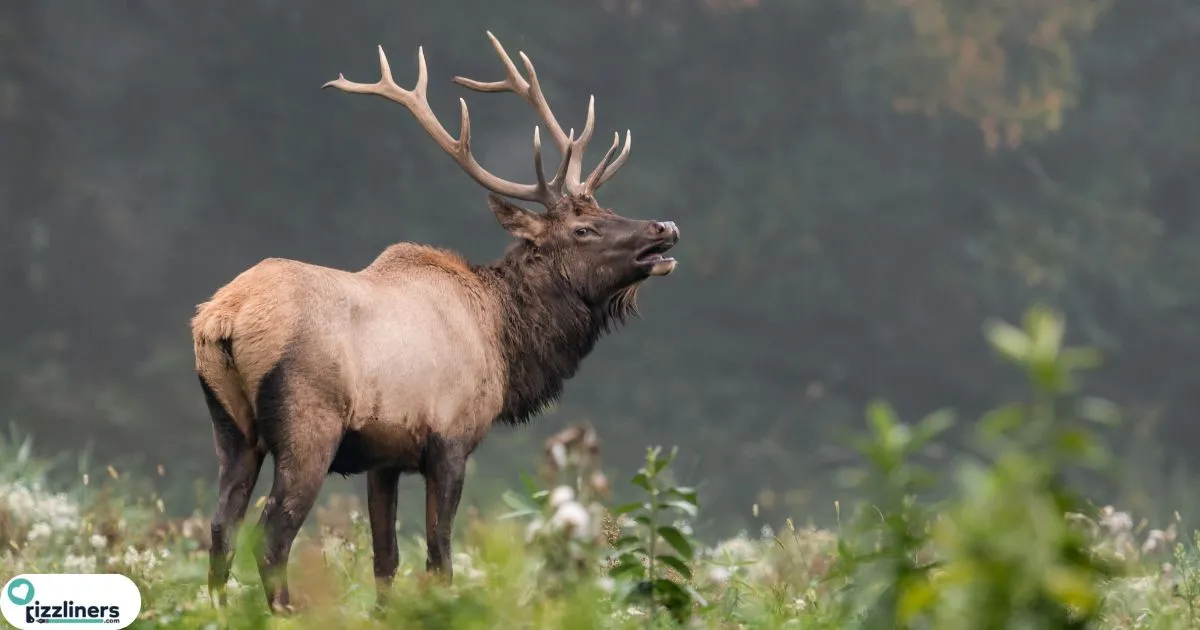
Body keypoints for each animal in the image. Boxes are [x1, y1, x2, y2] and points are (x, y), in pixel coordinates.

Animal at [190, 32, 680, 614]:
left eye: (606, 209)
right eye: (583, 228)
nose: (665, 227)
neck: (505, 342)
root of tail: (223, 319)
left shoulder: (383, 457)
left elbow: (385, 561)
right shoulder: (450, 438)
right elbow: (439, 558)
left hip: (232, 428)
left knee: (220, 529)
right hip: (308, 424)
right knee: (270, 536)